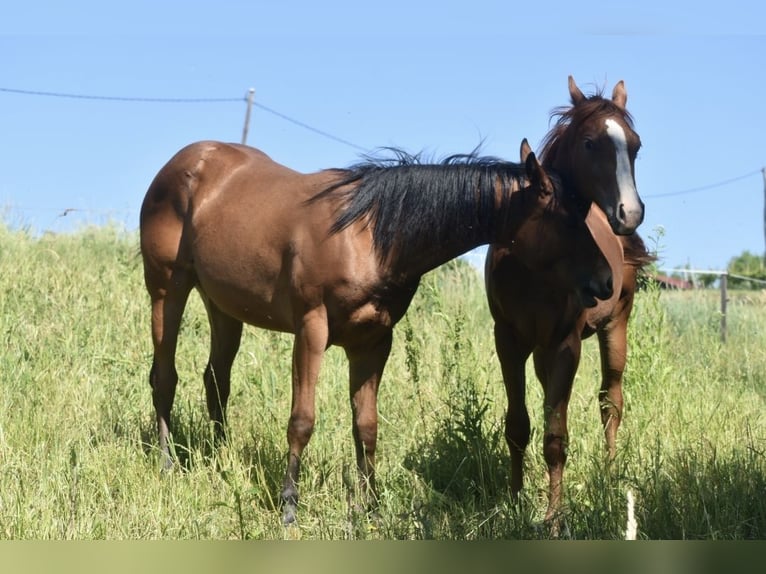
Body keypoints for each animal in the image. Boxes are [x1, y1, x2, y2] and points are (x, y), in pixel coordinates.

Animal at [139, 139, 613, 525]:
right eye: (568, 220)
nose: (606, 281)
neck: (368, 235)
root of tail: (185, 162)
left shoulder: (372, 342)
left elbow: (366, 426)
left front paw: (370, 507)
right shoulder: (311, 330)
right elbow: (302, 420)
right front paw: (289, 505)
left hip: (223, 306)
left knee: (216, 380)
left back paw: (222, 459)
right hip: (167, 289)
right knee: (165, 376)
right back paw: (165, 463)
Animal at [485, 76, 653, 528]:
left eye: (635, 145)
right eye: (591, 143)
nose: (630, 213)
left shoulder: (565, 344)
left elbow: (556, 436)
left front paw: (554, 517)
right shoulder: (509, 341)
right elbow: (518, 425)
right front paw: (513, 499)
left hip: (615, 328)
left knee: (610, 402)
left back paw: (610, 475)